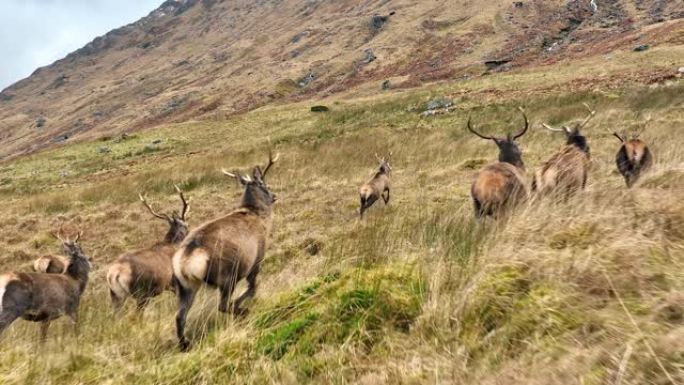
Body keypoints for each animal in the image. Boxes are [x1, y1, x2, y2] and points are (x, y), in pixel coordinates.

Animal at [174, 152, 280, 350]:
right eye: (262, 183)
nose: (274, 196)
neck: (261, 218)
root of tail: (187, 259)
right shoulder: (257, 259)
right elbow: (253, 287)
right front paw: (241, 303)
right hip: (226, 276)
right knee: (222, 305)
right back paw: (241, 310)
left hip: (186, 286)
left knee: (179, 316)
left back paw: (185, 344)